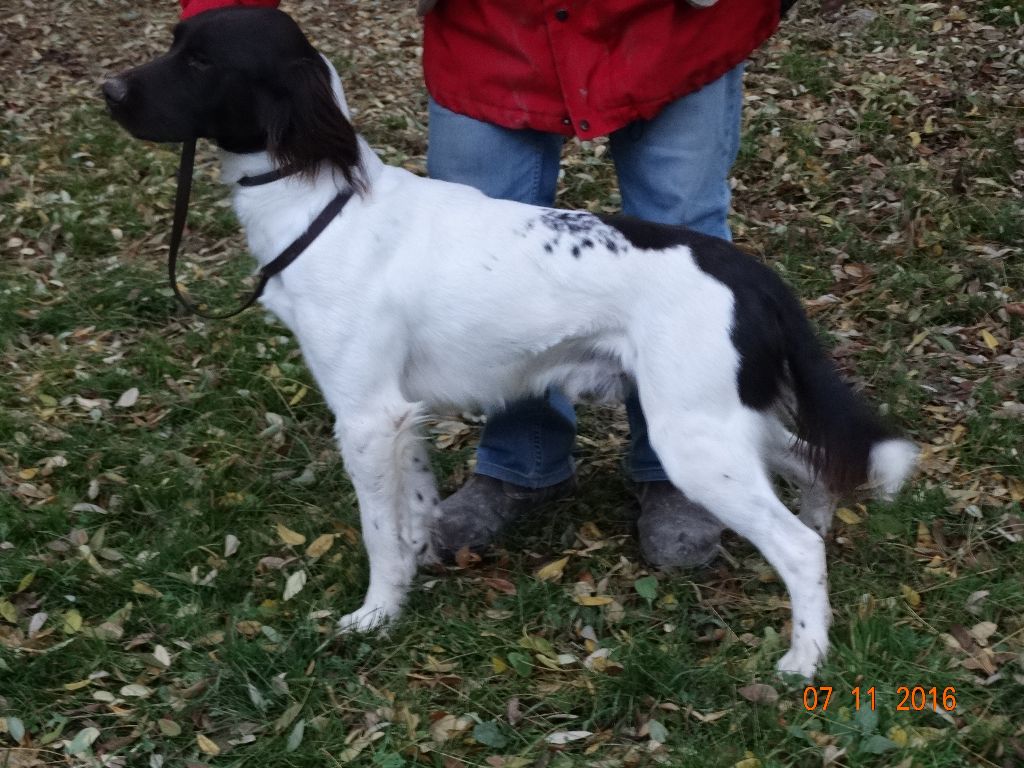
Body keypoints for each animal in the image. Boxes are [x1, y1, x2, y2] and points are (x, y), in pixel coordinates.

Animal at [105, 9, 921, 675]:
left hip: (693, 438)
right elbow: (413, 517)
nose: (109, 91)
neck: (325, 200)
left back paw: (805, 659)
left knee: (799, 548)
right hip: (720, 421)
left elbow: (378, 533)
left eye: (201, 62)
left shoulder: (365, 416)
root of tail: (748, 271)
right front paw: (413, 584)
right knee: (814, 464)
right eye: (176, 42)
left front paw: (375, 616)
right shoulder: (402, 417)